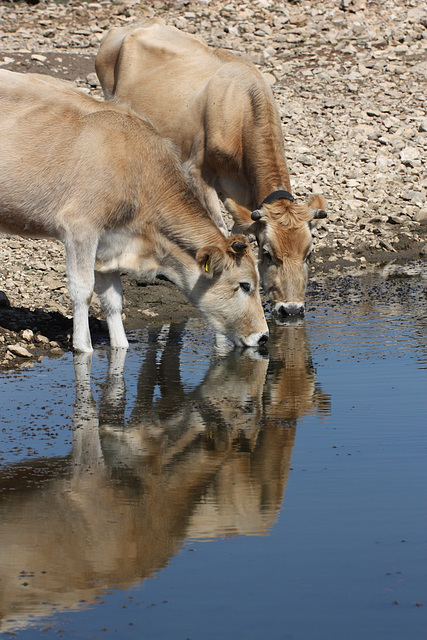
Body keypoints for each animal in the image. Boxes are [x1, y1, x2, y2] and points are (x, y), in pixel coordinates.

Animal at [0, 71, 268, 350]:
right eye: (245, 285)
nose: (263, 336)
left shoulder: (108, 246)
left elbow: (113, 301)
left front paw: (120, 346)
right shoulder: (80, 228)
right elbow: (82, 290)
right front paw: (83, 347)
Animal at [94, 18, 328, 318]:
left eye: (309, 253)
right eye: (267, 252)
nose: (291, 309)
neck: (238, 110)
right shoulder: (197, 172)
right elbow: (217, 228)